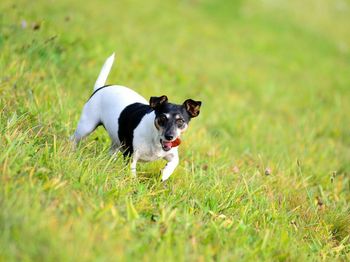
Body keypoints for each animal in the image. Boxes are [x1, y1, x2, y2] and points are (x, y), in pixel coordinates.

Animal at [72, 53, 202, 180]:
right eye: (162, 118)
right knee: (73, 139)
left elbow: (174, 163)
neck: (155, 138)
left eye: (181, 121)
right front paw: (133, 183)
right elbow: (132, 173)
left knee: (111, 152)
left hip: (117, 140)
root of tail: (100, 88)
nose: (169, 136)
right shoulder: (131, 155)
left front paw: (164, 174)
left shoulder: (172, 154)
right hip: (86, 127)